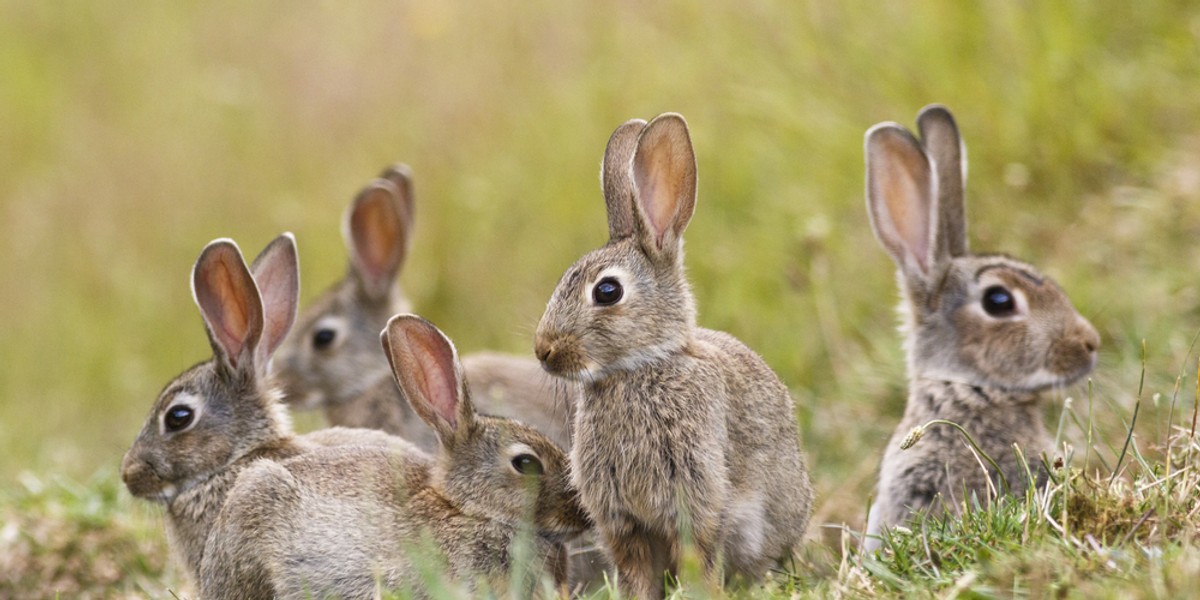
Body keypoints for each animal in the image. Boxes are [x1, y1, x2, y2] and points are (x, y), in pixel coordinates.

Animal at [535, 111, 816, 595]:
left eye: (607, 291)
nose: (543, 349)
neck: (637, 369)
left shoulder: (696, 499)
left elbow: (698, 555)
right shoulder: (623, 523)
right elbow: (636, 572)